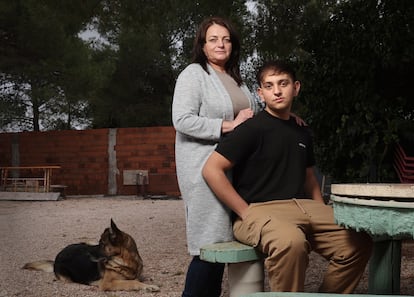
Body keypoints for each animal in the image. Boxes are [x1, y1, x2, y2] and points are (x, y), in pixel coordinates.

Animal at [22, 219, 160, 290]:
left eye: (102, 244)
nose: (88, 255)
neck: (127, 263)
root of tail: (57, 255)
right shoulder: (108, 283)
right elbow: (132, 282)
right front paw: (148, 286)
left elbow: (138, 277)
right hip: (69, 277)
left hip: (87, 242)